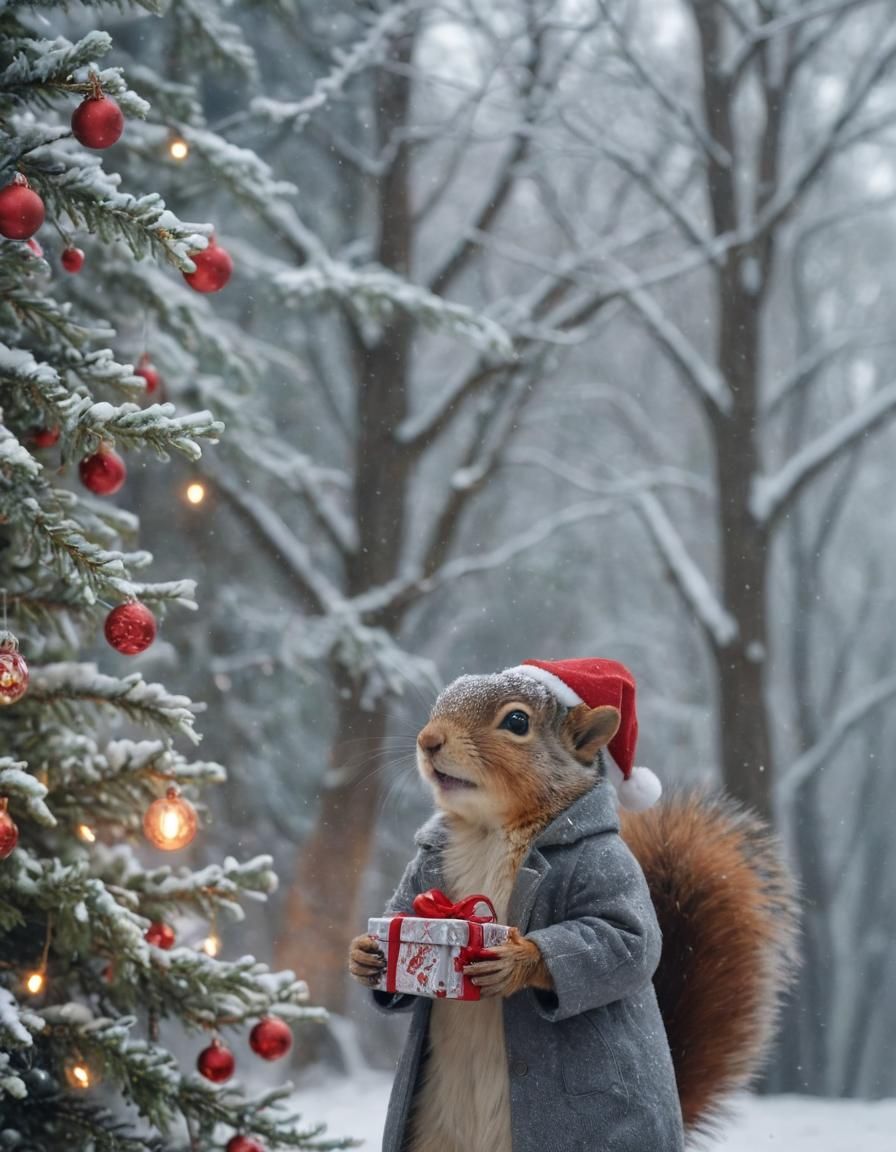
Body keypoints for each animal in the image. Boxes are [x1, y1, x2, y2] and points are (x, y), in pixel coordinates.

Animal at [350, 659, 797, 1152]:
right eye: (441, 703)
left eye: (517, 722)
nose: (429, 740)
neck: (488, 830)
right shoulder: (420, 873)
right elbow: (398, 908)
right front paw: (366, 956)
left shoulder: (609, 868)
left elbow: (625, 938)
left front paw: (518, 961)